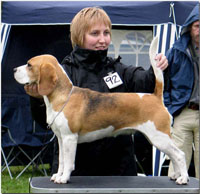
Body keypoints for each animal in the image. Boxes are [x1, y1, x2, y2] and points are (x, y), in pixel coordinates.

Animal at [14, 37, 189, 185]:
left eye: (29, 65)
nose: (14, 69)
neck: (63, 96)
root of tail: (155, 96)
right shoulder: (61, 138)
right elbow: (62, 161)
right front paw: (58, 175)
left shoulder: (70, 138)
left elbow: (69, 163)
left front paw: (64, 178)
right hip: (160, 138)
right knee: (174, 156)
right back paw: (176, 176)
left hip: (159, 137)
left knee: (180, 155)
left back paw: (183, 179)